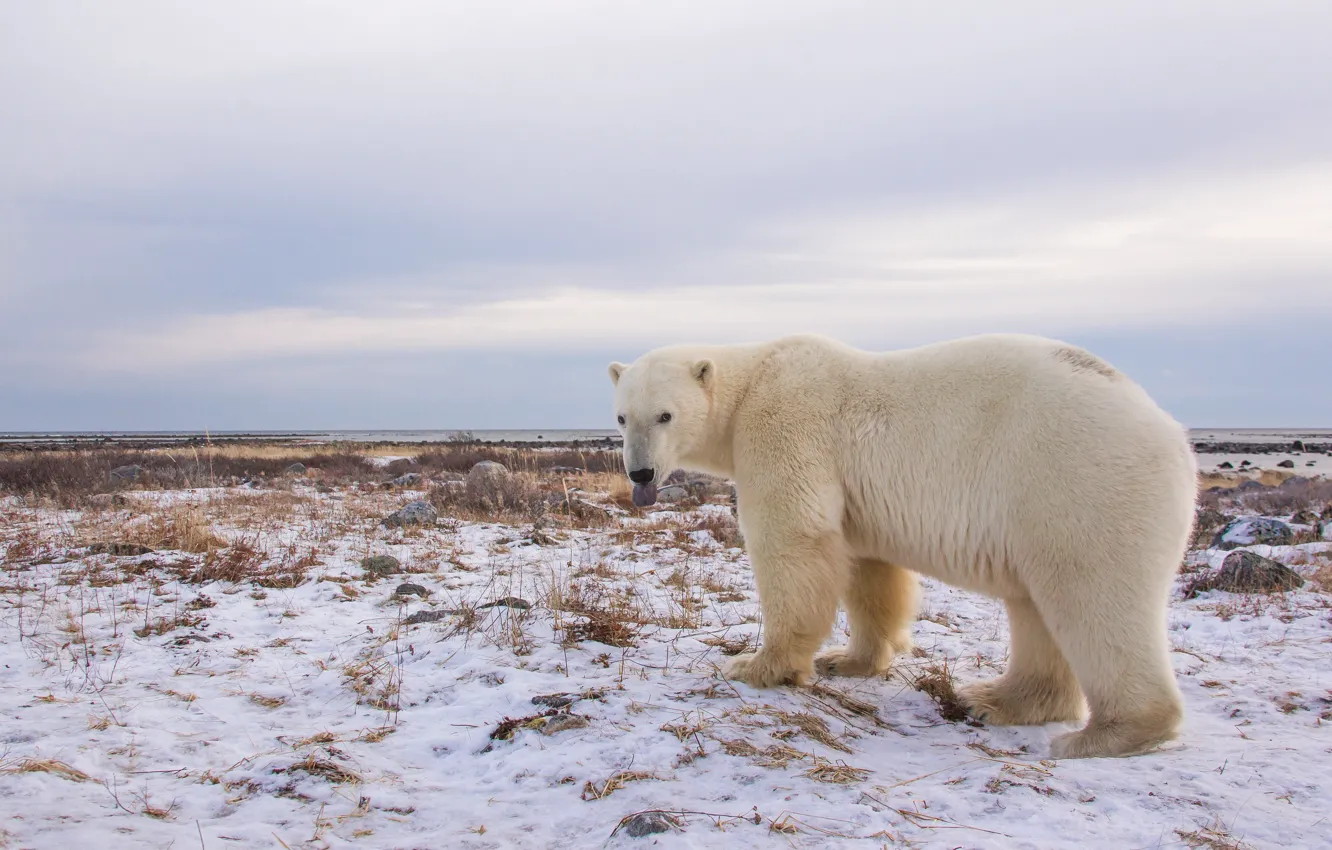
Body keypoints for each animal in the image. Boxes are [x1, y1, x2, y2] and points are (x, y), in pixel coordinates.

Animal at [607, 332, 1197, 759]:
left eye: (665, 415)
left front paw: (758, 666)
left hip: (1080, 482)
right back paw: (995, 699)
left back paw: (1106, 734)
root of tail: (1175, 437)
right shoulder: (857, 494)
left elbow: (795, 539)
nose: (641, 472)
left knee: (1092, 598)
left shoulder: (787, 427)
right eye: (621, 416)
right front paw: (849, 660)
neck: (754, 379)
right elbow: (870, 570)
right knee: (1036, 605)